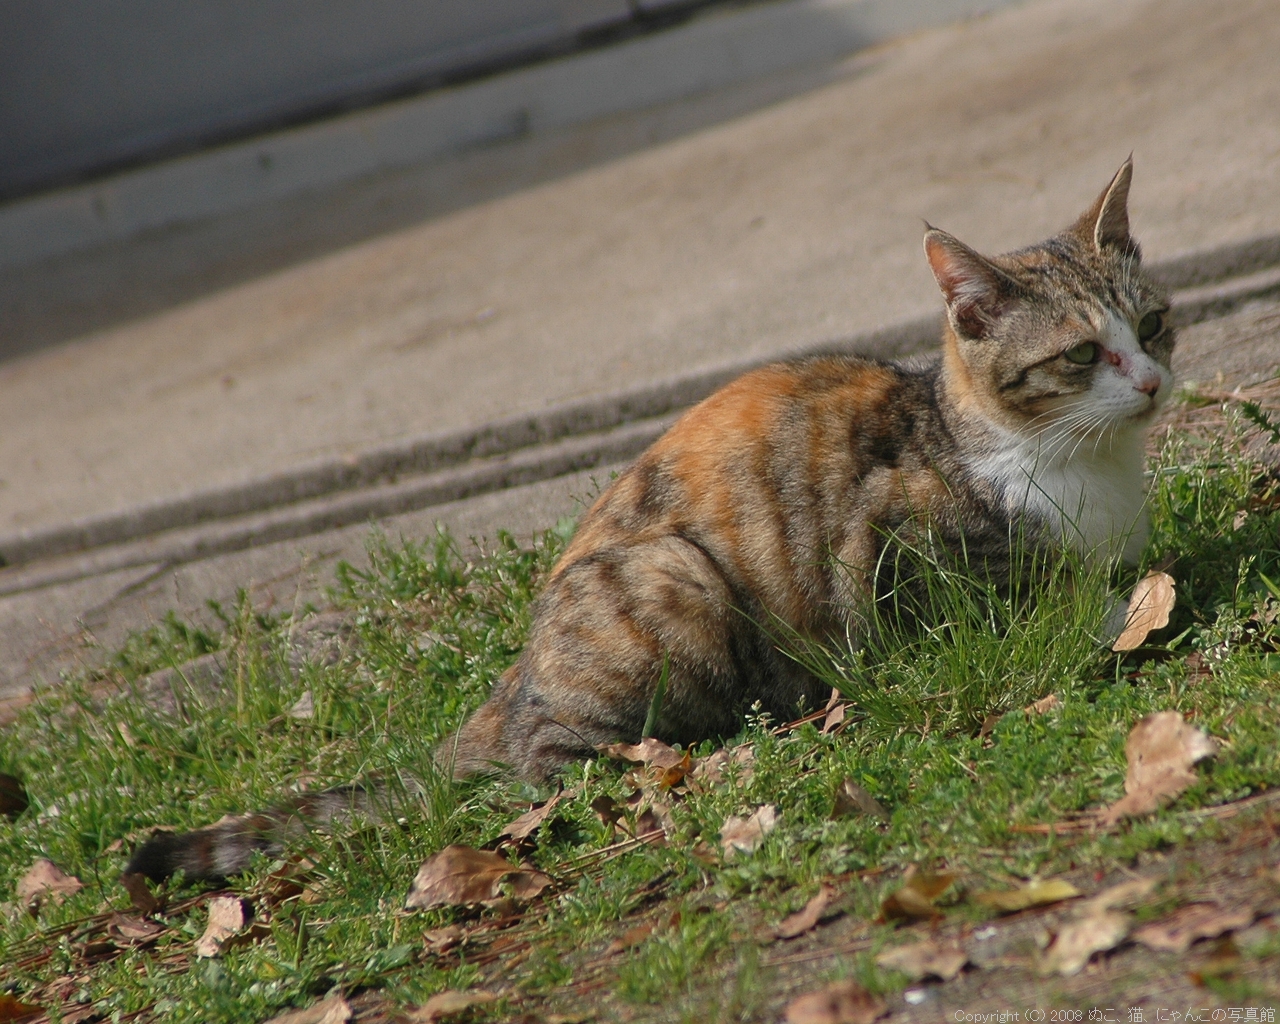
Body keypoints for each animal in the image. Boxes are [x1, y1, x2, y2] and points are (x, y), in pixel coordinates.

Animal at [127, 160, 1172, 880]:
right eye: (1082, 355)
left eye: (1151, 326)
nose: (1155, 381)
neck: (1072, 463)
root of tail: (512, 682)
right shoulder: (890, 558)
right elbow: (1010, 609)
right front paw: (1116, 607)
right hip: (671, 577)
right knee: (559, 765)